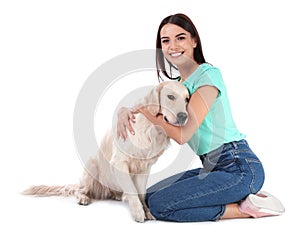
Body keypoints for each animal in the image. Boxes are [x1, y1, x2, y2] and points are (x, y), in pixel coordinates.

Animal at [22, 81, 189, 222]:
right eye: (171, 97)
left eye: (187, 100)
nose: (184, 116)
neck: (152, 128)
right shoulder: (119, 162)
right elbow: (132, 190)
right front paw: (138, 212)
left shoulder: (145, 167)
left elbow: (140, 192)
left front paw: (146, 210)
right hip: (91, 166)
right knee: (80, 190)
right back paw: (84, 198)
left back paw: (118, 196)